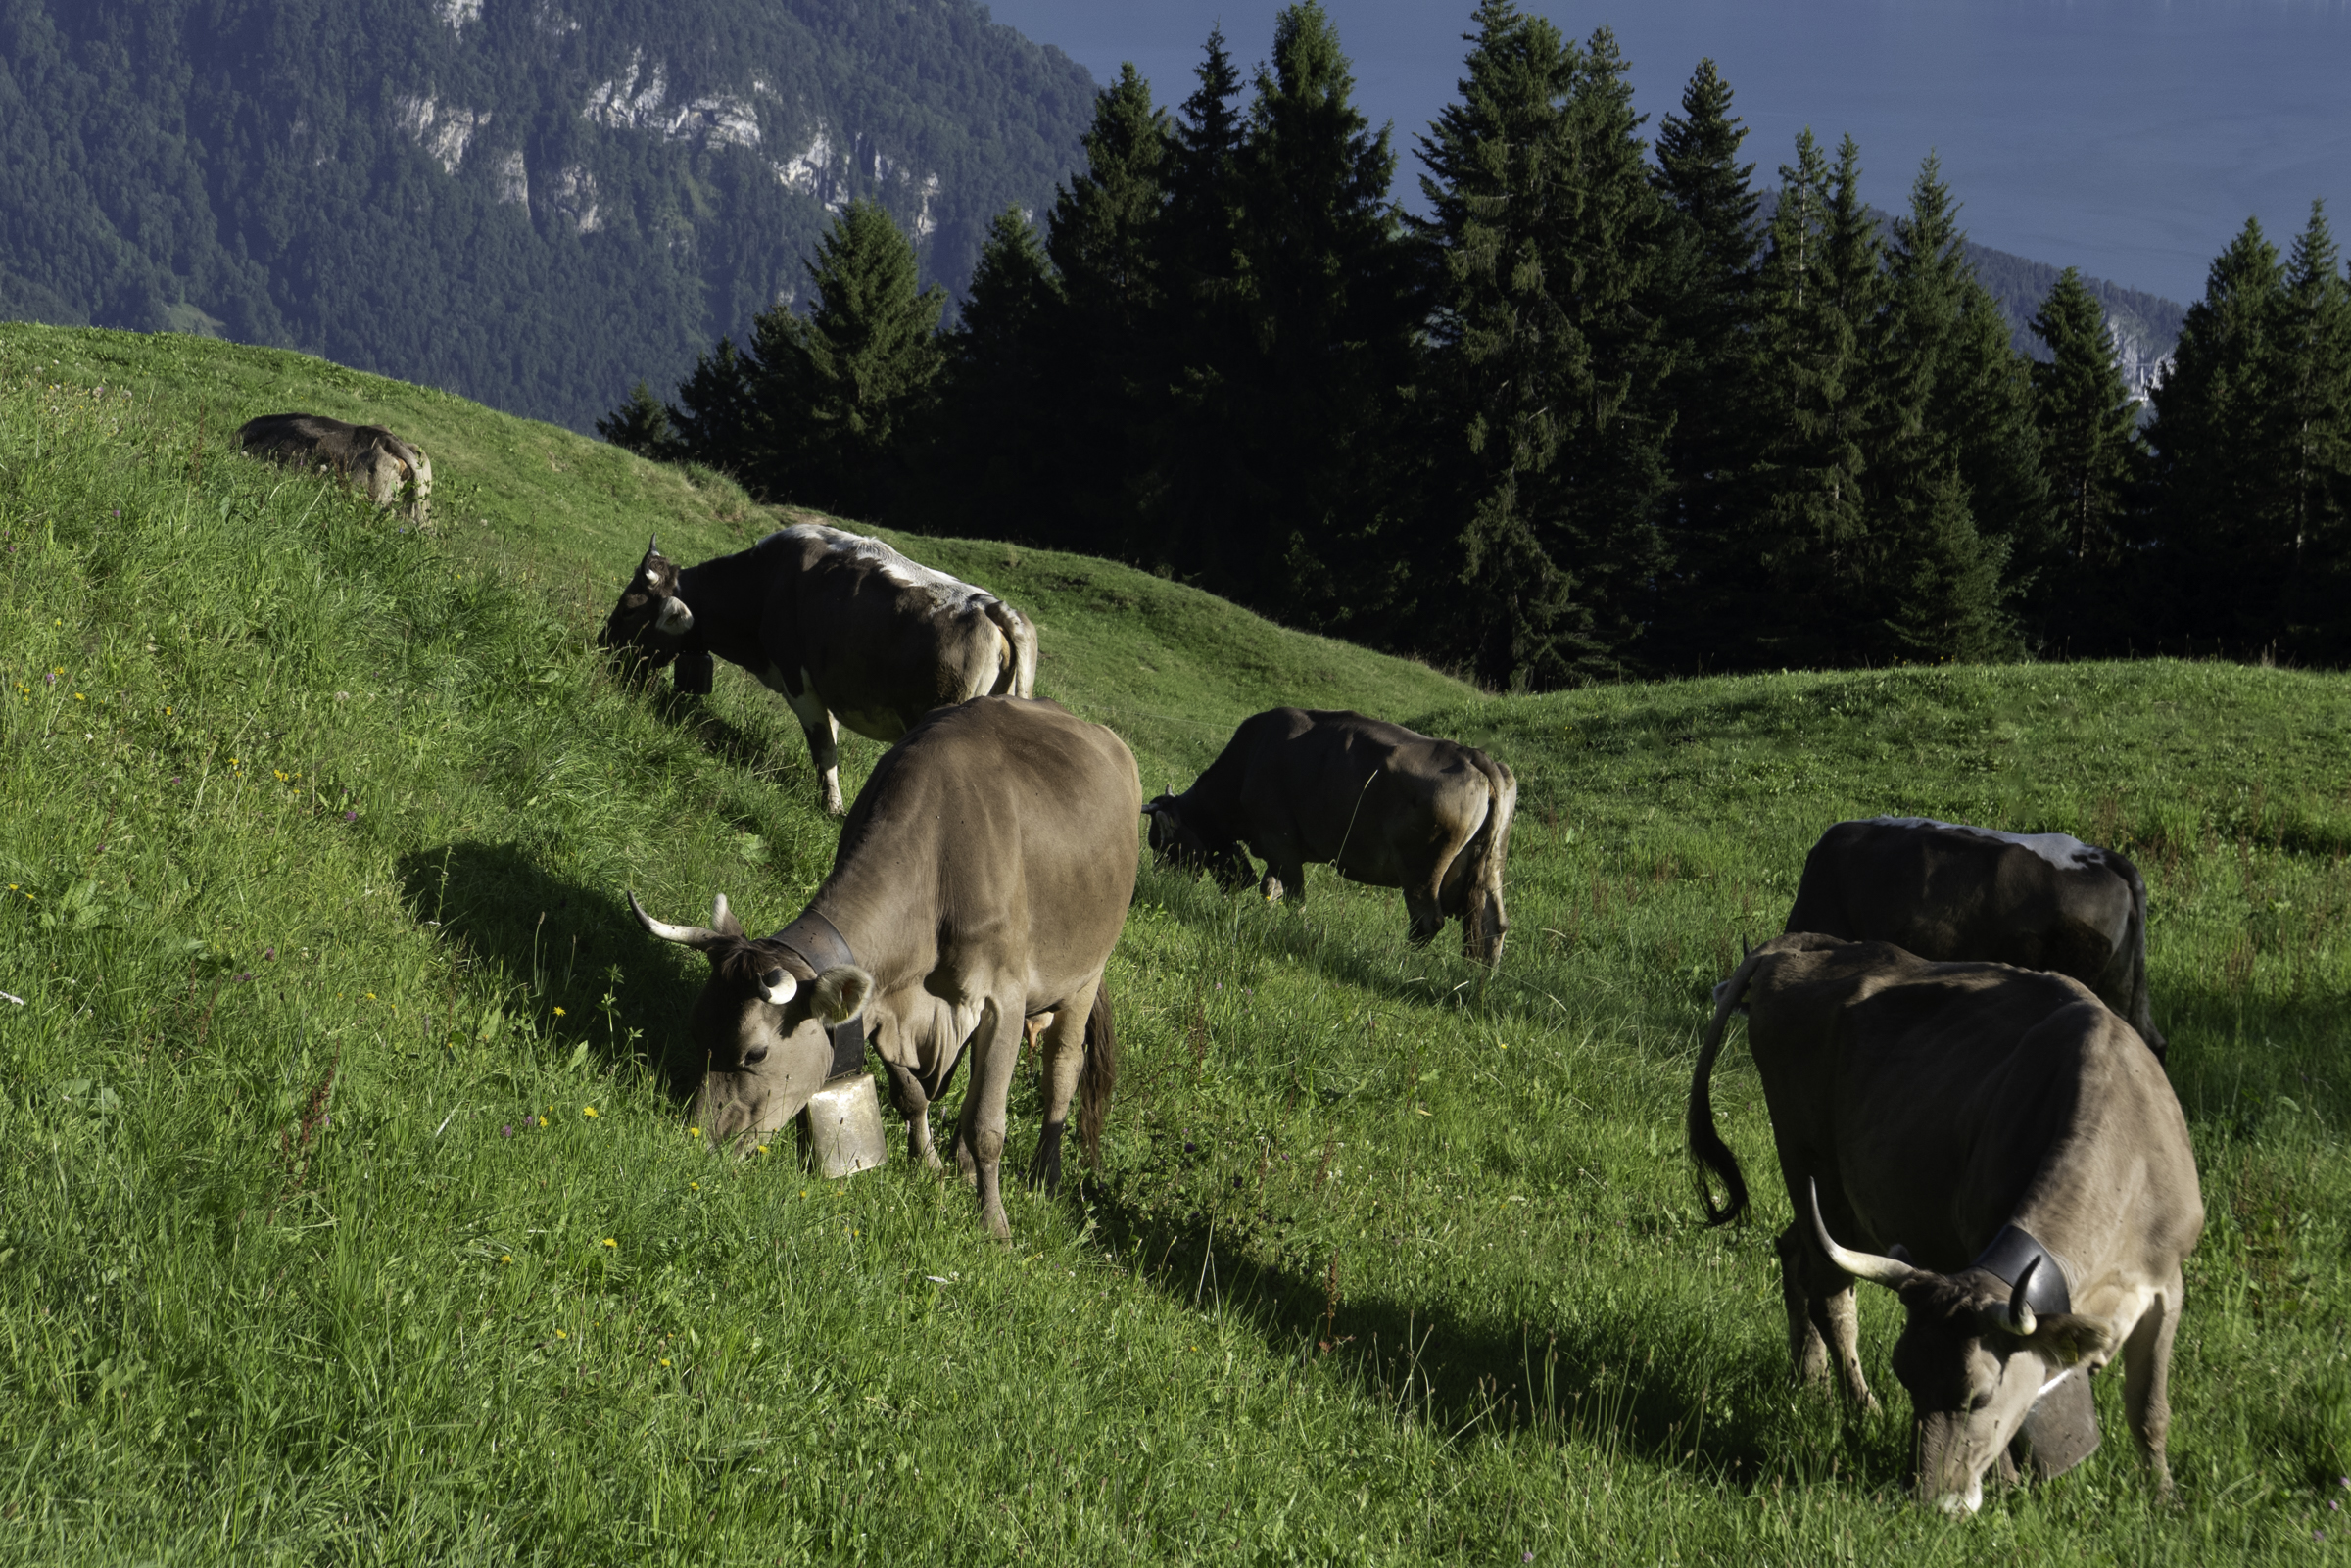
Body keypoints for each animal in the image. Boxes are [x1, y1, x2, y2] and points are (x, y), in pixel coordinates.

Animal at [601, 524, 1038, 814]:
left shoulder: (800, 683)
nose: (602, 647)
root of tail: (991, 606)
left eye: (629, 608)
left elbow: (823, 747)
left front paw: (832, 808)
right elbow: (832, 736)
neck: (763, 584)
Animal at [628, 695, 1139, 1240]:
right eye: (696, 1031)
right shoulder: (882, 1002)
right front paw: (931, 1163)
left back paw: (1046, 1174)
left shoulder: (1004, 997)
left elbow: (988, 1125)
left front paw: (994, 1226)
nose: (701, 1140)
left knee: (1062, 1070)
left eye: (756, 1053)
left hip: (1086, 974)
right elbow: (912, 1094)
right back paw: (962, 1163)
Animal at [1142, 708, 1516, 965]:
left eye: (1161, 844)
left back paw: (1398, 960)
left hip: (1421, 869)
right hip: (1490, 865)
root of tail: (1474, 755)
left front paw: (1296, 933)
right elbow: (1271, 889)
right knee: (1491, 924)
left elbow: (1293, 897)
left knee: (1428, 922)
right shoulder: (1278, 849)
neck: (1249, 759)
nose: (1159, 881)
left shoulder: (1280, 842)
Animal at [1688, 933, 2203, 1513]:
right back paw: (1862, 1407)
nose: (1929, 1500)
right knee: (1831, 1296)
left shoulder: (2167, 1283)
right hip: (1811, 1169)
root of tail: (1800, 947)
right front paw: (2007, 1485)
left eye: (1979, 1396)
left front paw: (2164, 1498)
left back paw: (1810, 1379)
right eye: (1905, 1376)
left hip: (1845, 1204)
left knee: (1794, 1251)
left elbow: (2149, 1406)